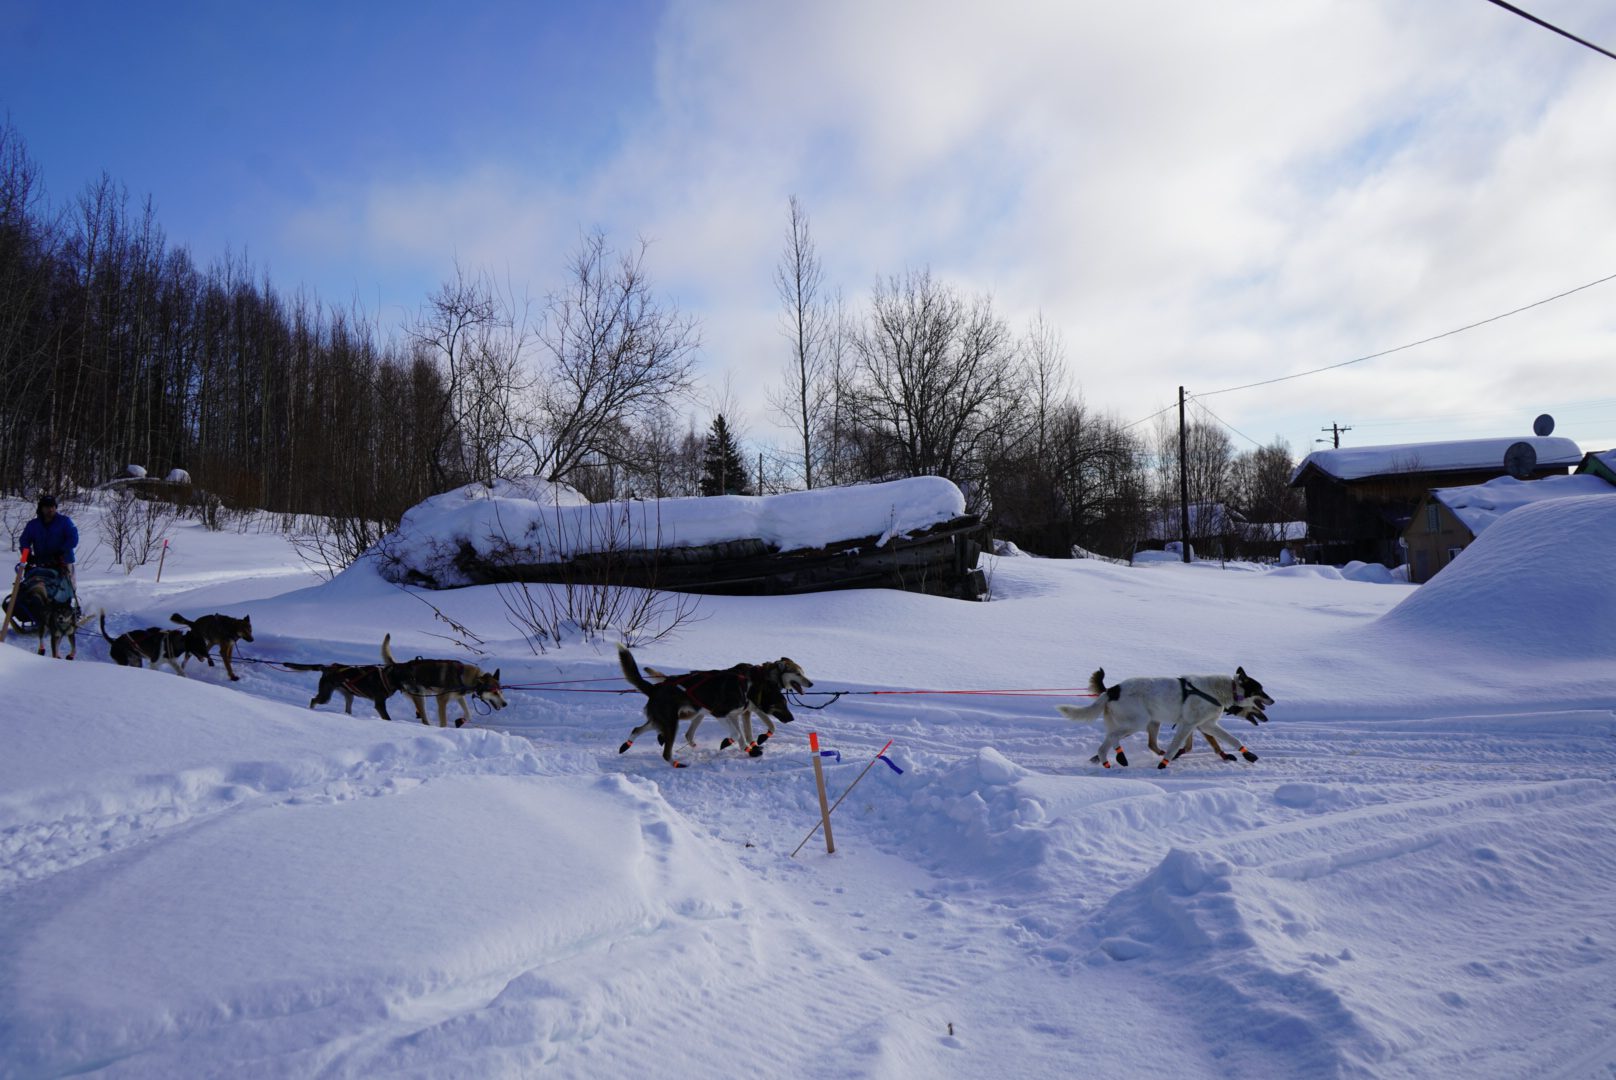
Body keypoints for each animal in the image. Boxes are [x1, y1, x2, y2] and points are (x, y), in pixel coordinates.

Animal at [1060, 666, 1273, 766]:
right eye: (1260, 690)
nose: (1272, 700)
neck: (1221, 691)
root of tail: (1113, 689)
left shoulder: (1207, 725)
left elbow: (1232, 739)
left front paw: (1248, 754)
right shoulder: (1189, 725)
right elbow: (1176, 747)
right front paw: (1165, 762)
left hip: (1146, 723)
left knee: (1111, 740)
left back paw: (1113, 759)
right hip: (1138, 722)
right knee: (1112, 738)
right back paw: (1115, 758)